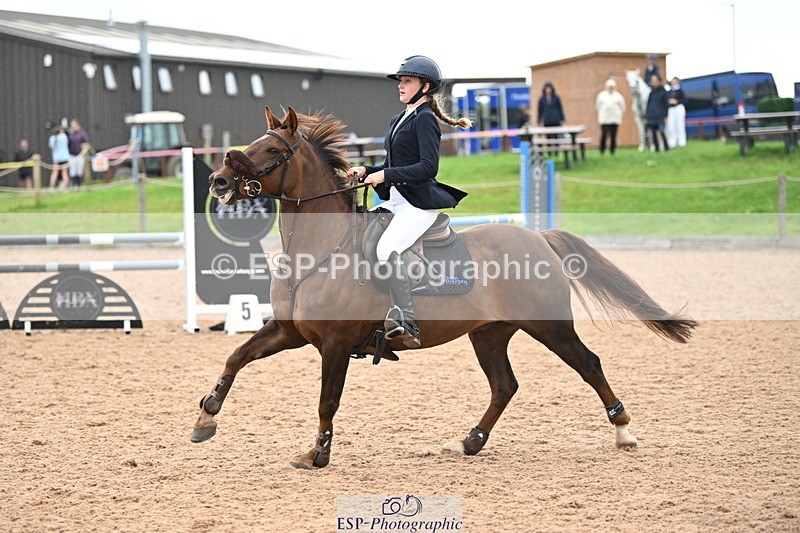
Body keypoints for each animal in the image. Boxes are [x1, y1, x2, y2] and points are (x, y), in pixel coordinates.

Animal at [191, 106, 697, 469]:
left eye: (270, 151)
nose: (217, 181)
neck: (318, 250)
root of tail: (539, 239)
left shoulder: (334, 343)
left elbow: (326, 401)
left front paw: (317, 454)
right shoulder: (290, 331)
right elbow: (236, 356)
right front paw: (205, 417)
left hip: (549, 325)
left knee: (588, 364)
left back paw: (624, 430)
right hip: (489, 332)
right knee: (504, 385)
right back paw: (469, 442)